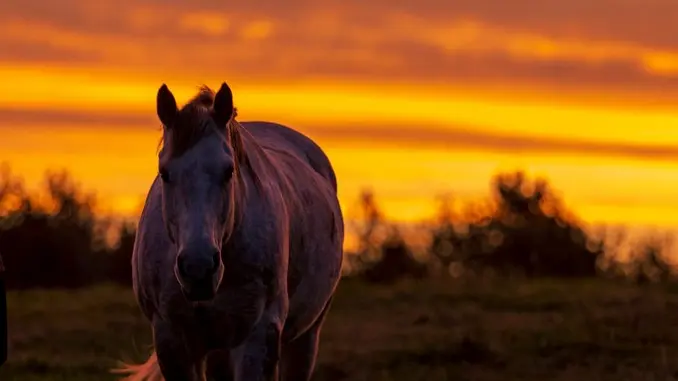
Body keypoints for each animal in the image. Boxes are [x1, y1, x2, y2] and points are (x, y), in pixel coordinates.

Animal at [115, 83, 346, 380]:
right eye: (164, 173)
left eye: (228, 170)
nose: (198, 268)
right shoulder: (171, 340)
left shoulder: (258, 337)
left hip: (305, 337)